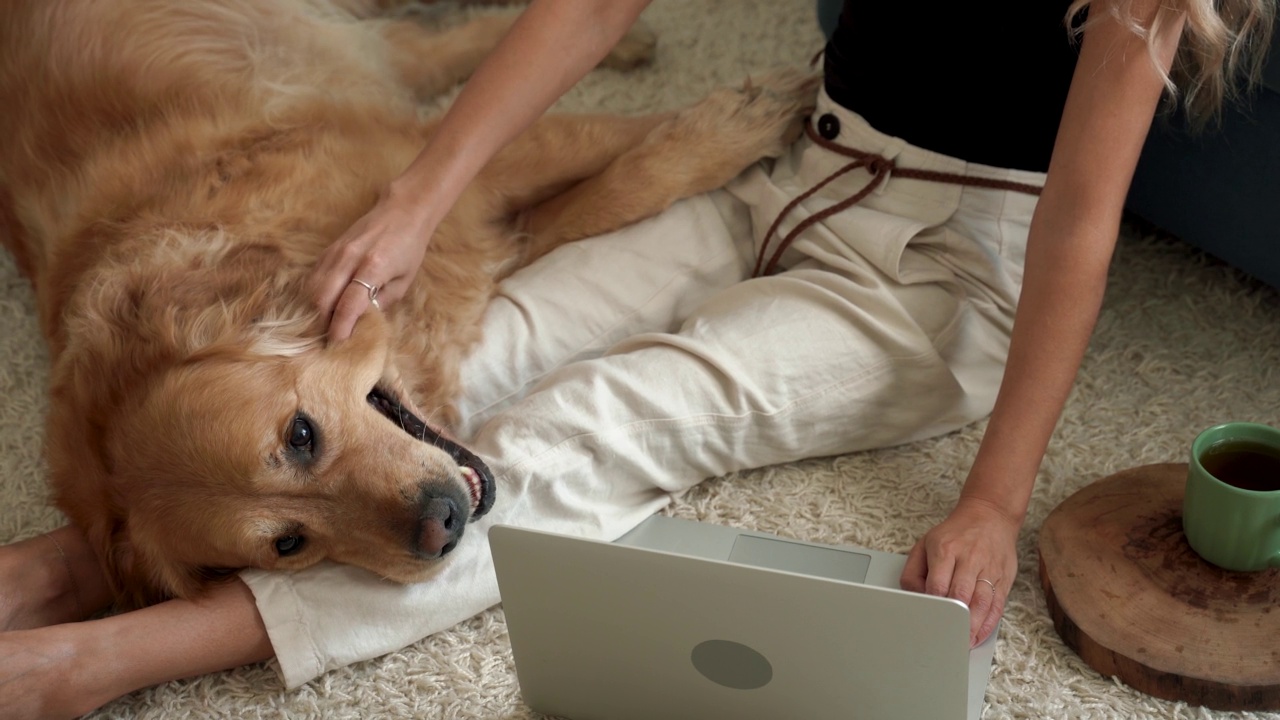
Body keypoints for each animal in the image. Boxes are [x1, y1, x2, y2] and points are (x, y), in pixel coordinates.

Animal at [0, 0, 814, 604]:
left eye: (301, 436)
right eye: (289, 544)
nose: (441, 525)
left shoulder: (446, 169)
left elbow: (632, 161)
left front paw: (746, 122)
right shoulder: (472, 230)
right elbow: (605, 196)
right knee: (427, 52)